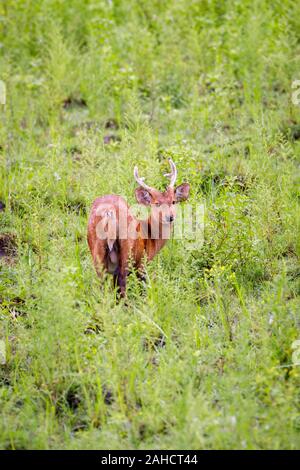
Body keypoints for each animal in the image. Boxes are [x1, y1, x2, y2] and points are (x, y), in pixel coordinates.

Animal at [86, 159, 190, 298]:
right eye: (156, 203)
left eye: (173, 201)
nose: (170, 217)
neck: (150, 238)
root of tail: (109, 213)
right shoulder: (142, 264)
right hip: (127, 252)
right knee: (122, 284)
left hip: (97, 250)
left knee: (102, 285)